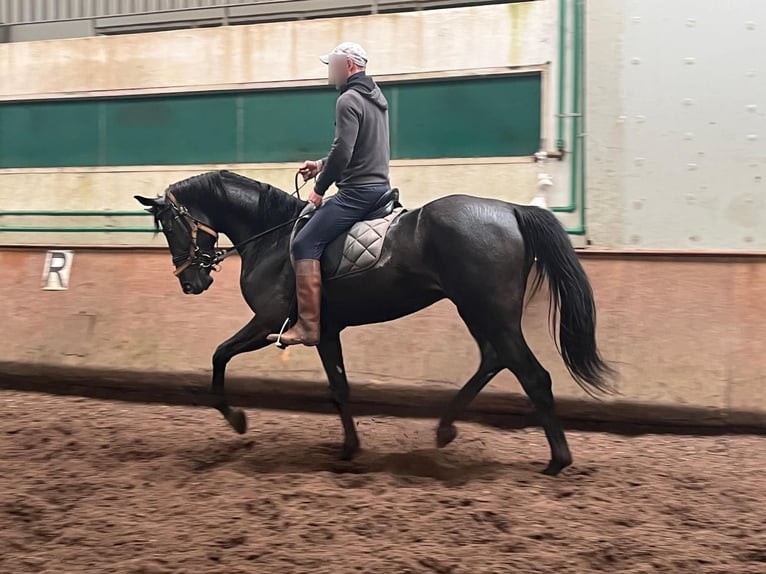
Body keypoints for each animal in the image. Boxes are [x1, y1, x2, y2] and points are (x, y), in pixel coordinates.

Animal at [135, 169, 615, 476]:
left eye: (171, 227)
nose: (191, 283)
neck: (270, 237)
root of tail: (510, 210)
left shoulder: (269, 321)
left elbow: (219, 355)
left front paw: (236, 419)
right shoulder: (325, 331)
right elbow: (339, 388)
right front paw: (349, 449)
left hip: (489, 311)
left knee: (532, 375)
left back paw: (556, 461)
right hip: (477, 310)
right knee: (495, 360)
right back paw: (445, 430)